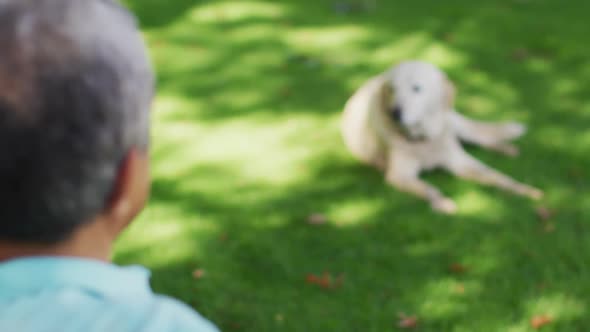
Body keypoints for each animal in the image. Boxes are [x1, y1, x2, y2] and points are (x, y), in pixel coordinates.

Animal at [342, 61, 544, 214]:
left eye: (416, 88)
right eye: (393, 89)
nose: (395, 113)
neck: (424, 138)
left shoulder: (461, 162)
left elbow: (496, 176)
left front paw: (523, 189)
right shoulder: (399, 176)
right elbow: (430, 188)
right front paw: (442, 203)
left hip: (457, 124)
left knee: (481, 138)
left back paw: (507, 149)